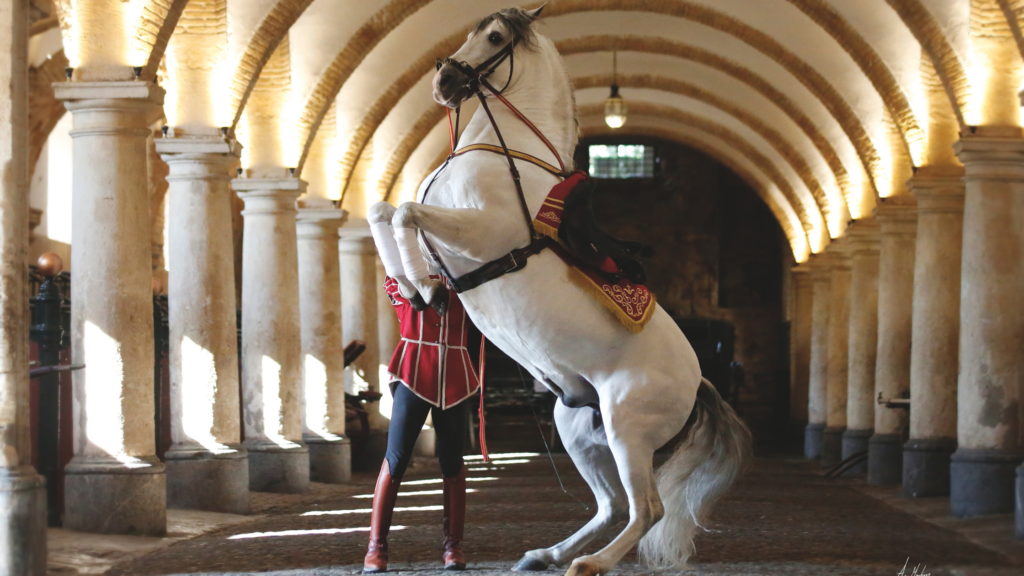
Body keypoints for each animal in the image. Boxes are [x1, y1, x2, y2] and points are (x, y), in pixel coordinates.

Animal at [369, 6, 751, 575]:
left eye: (495, 37)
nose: (444, 82)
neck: (503, 154)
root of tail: (698, 381)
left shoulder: (483, 233)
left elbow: (405, 213)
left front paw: (418, 283)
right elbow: (384, 210)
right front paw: (415, 287)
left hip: (626, 428)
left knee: (647, 508)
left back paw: (589, 563)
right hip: (576, 426)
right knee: (612, 505)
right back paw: (544, 553)